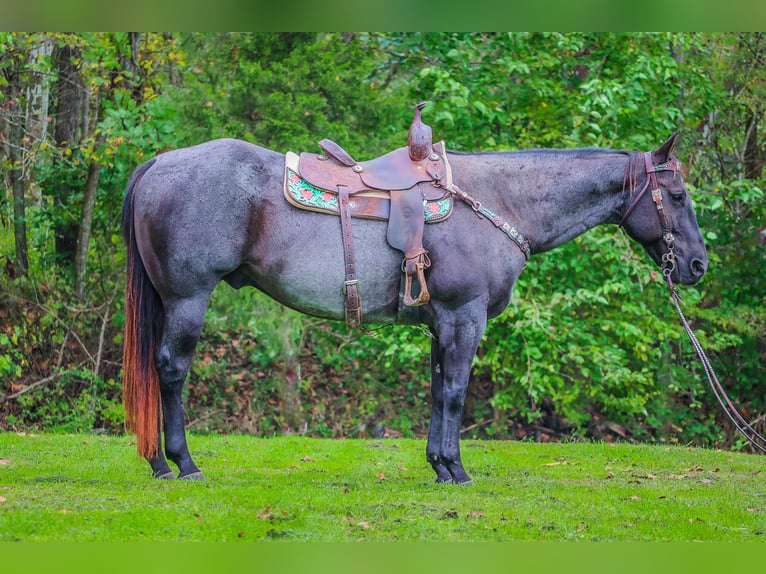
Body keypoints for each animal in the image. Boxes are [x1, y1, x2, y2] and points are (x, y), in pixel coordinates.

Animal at [121, 132, 708, 483]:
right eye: (678, 196)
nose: (698, 265)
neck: (499, 200)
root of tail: (160, 162)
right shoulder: (464, 316)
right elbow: (455, 392)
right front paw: (456, 469)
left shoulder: (440, 323)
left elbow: (436, 390)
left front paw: (439, 467)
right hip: (188, 299)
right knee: (170, 370)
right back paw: (181, 464)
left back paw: (158, 463)